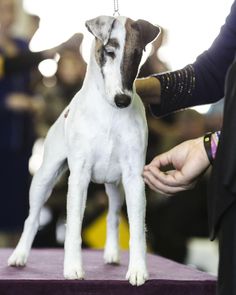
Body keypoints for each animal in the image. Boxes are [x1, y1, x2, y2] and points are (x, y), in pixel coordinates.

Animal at [7, 14, 159, 286]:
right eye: (109, 51)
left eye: (137, 54)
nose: (123, 100)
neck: (109, 113)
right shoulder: (79, 177)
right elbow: (73, 228)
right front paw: (73, 268)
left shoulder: (133, 178)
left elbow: (137, 230)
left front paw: (138, 270)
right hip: (44, 177)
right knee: (32, 218)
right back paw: (19, 255)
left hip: (116, 186)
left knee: (112, 216)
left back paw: (111, 253)